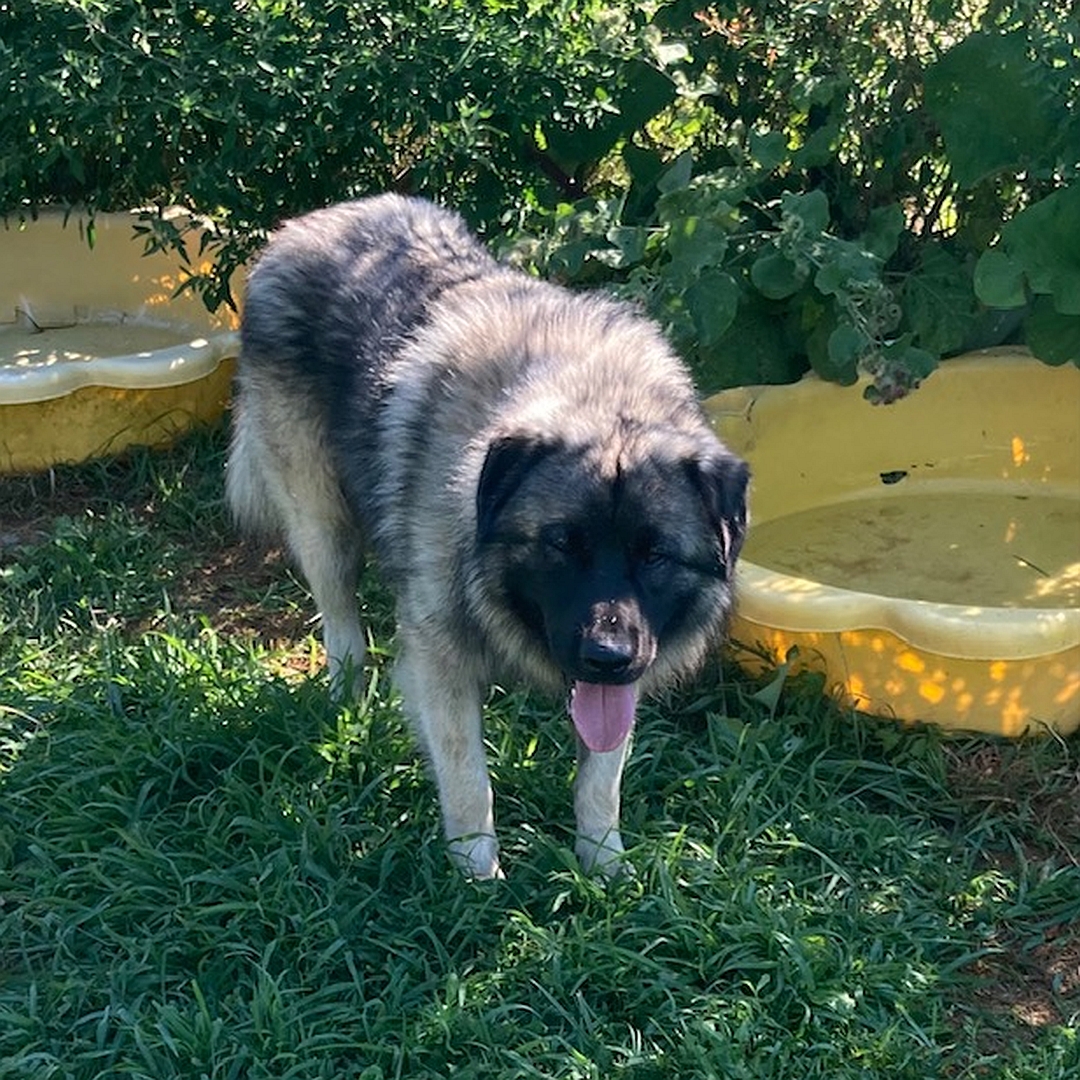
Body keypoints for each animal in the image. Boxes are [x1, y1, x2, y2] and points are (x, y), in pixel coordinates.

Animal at [225, 196, 751, 876]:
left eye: (656, 555)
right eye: (561, 544)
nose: (606, 656)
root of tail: (312, 222)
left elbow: (599, 781)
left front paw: (603, 866)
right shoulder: (440, 656)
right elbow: (468, 779)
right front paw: (477, 874)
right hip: (324, 525)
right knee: (342, 628)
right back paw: (349, 705)